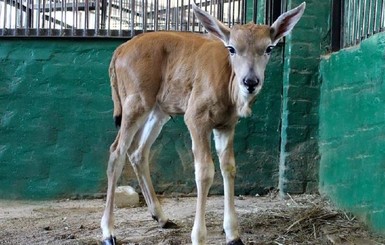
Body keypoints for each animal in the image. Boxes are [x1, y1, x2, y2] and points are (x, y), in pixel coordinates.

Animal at [100, 2, 304, 245]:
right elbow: (205, 171)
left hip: (158, 112)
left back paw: (162, 218)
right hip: (135, 106)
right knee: (117, 152)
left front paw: (233, 235)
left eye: (269, 48)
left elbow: (229, 168)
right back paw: (108, 232)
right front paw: (199, 236)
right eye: (232, 48)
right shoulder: (196, 120)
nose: (251, 81)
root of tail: (120, 51)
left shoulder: (225, 126)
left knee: (138, 152)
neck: (228, 82)